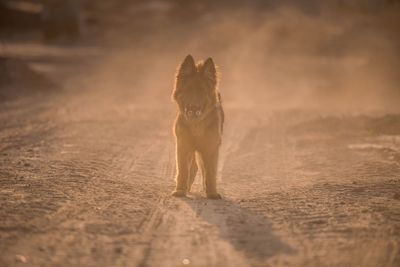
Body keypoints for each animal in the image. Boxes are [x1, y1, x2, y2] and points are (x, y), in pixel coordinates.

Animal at [170, 55, 223, 200]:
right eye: (188, 90)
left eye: (202, 92)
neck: (196, 125)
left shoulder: (210, 148)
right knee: (192, 168)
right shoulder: (183, 146)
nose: (193, 108)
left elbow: (210, 172)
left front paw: (212, 193)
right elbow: (183, 170)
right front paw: (180, 190)